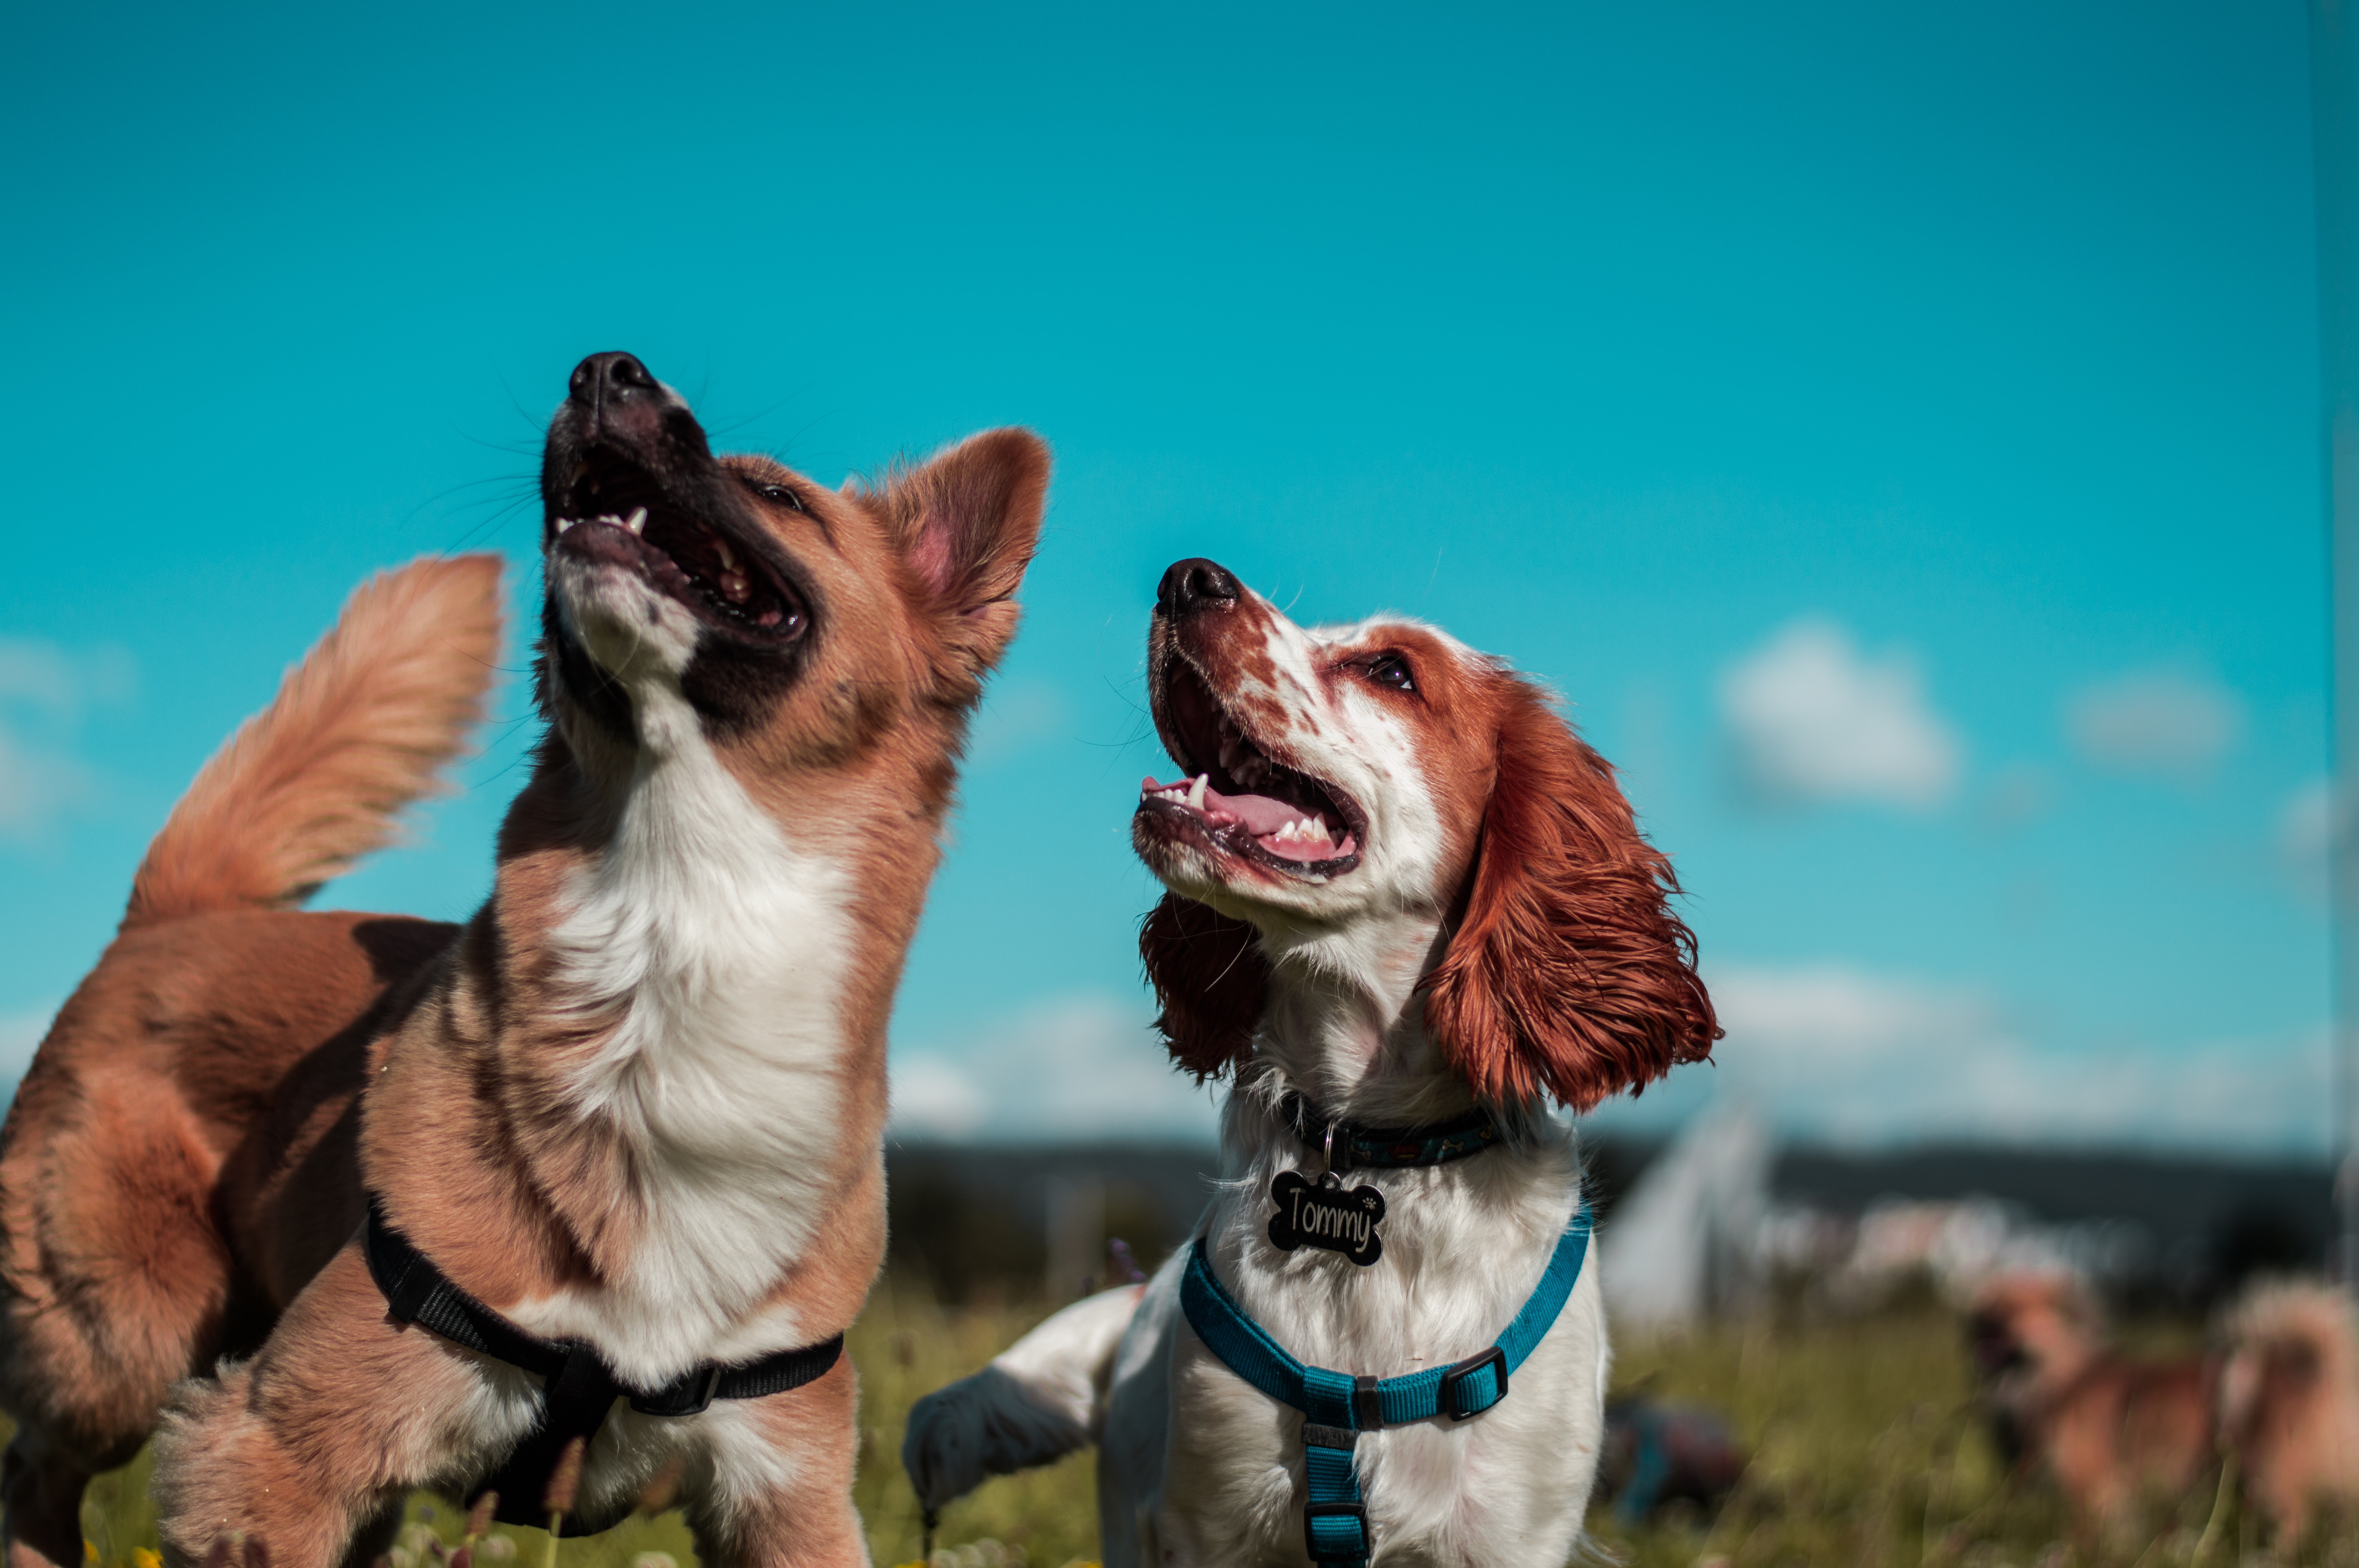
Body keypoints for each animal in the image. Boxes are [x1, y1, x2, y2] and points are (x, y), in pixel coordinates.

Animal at [0, 354, 1052, 1565]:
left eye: (777, 496)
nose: (607, 369)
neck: (678, 918)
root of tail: (178, 914)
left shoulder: (790, 1493)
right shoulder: (274, 1448)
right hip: (124, 1345)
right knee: (36, 1466)